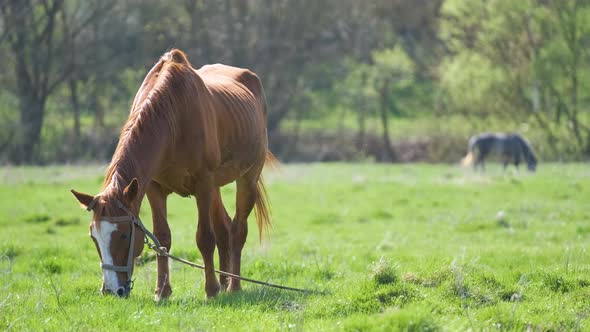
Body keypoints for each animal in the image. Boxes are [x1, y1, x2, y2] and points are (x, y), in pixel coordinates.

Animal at [72, 50, 276, 300]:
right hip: (216, 187)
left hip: (247, 178)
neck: (173, 120)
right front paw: (162, 291)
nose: (111, 290)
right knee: (224, 229)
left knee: (237, 230)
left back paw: (233, 285)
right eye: (94, 236)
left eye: (124, 235)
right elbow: (163, 238)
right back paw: (225, 280)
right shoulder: (153, 188)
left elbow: (205, 238)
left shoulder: (203, 184)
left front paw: (211, 290)